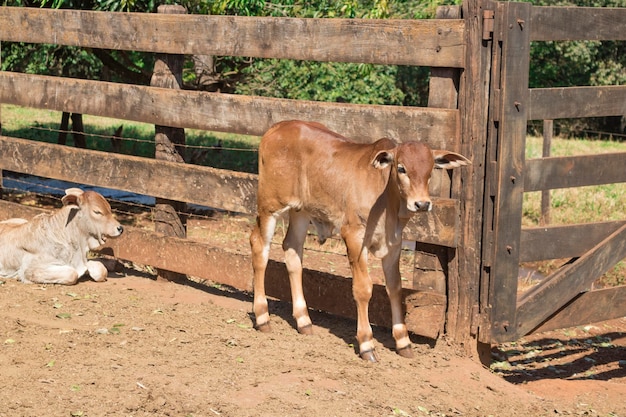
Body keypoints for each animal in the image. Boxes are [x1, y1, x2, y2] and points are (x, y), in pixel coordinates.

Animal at [249, 120, 468, 360]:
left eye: (430, 171)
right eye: (401, 168)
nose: (422, 204)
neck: (387, 202)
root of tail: (276, 128)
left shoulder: (394, 244)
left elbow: (395, 288)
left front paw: (403, 341)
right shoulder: (353, 235)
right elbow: (363, 288)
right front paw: (366, 343)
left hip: (301, 211)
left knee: (292, 251)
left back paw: (304, 320)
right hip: (270, 205)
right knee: (259, 246)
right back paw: (262, 316)